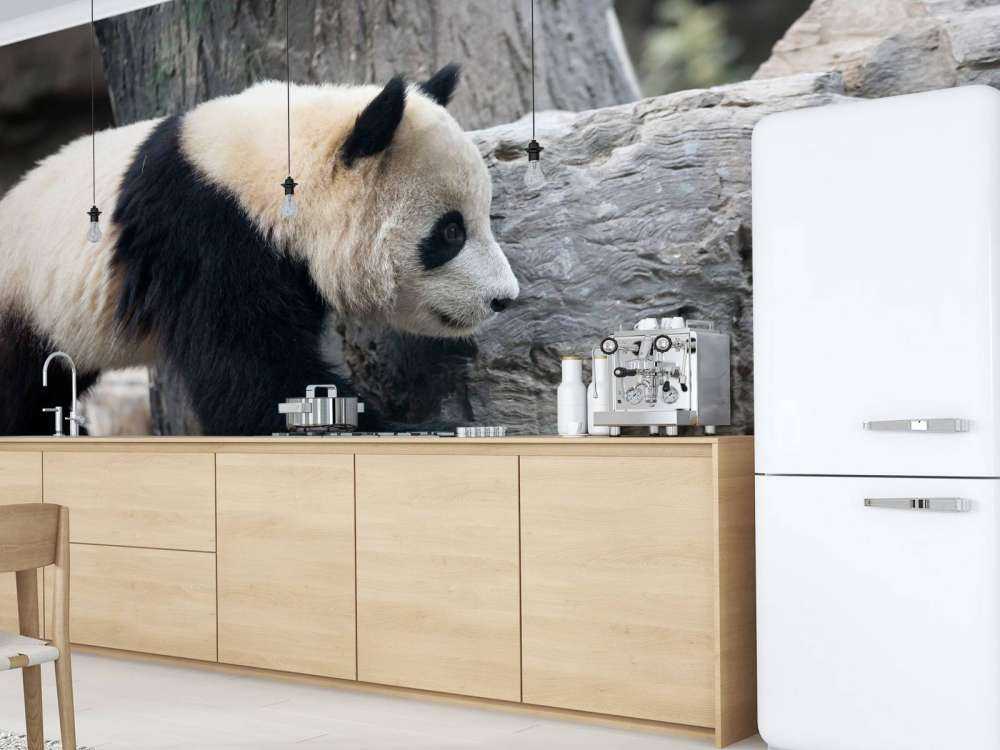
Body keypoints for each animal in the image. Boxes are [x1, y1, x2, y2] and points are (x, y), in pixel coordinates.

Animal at [0, 65, 520, 436]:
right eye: (450, 232)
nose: (504, 299)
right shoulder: (205, 233)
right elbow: (251, 381)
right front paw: (424, 426)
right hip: (24, 301)